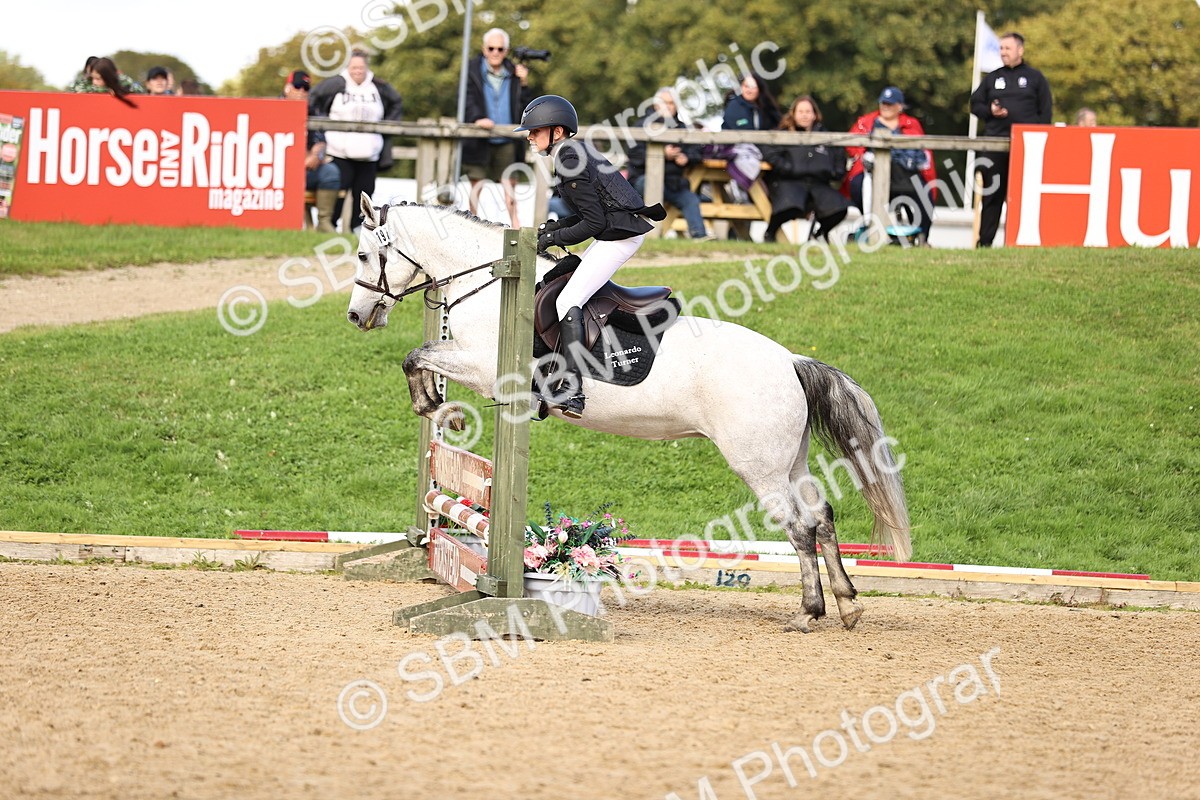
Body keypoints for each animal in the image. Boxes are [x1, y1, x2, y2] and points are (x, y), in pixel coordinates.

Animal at [345, 196, 911, 633]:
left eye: (364, 254)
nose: (356, 315)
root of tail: (791, 361)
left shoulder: (488, 371)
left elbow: (416, 355)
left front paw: (434, 405)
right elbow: (420, 355)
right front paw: (438, 406)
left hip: (759, 465)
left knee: (799, 527)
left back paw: (809, 612)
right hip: (790, 461)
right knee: (822, 516)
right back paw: (847, 605)